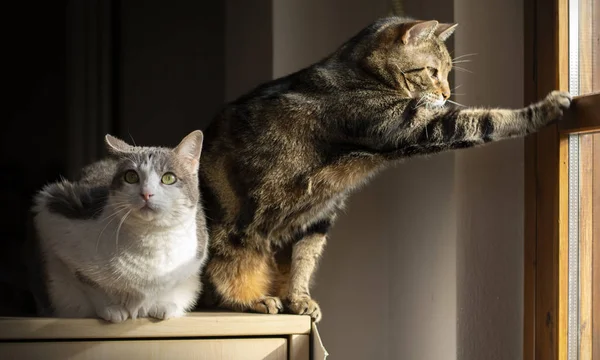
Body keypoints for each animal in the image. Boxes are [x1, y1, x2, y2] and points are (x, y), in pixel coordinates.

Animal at [32, 131, 207, 322]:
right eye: (131, 176)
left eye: (169, 178)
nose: (146, 193)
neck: (150, 239)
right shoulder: (54, 211)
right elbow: (90, 284)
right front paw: (112, 308)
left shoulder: (194, 257)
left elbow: (168, 287)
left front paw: (161, 304)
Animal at [199, 16, 568, 324]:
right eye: (433, 71)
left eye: (448, 72)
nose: (447, 93)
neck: (363, 74)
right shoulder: (410, 127)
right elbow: (485, 120)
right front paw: (545, 108)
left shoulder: (319, 218)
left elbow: (302, 262)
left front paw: (299, 299)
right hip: (229, 234)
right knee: (223, 273)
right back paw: (252, 299)